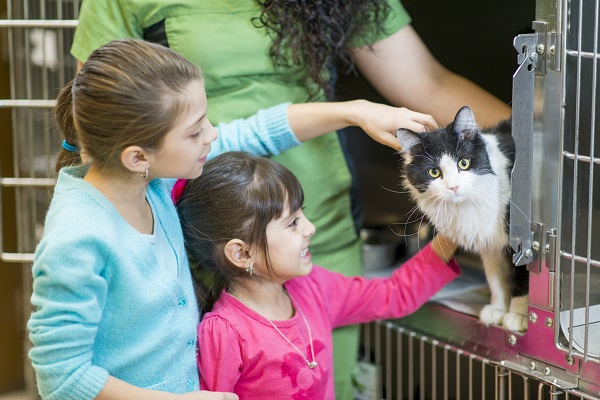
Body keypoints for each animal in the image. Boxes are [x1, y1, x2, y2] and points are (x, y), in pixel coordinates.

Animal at [396, 105, 528, 332]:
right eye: (434, 172)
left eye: (463, 163)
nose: (454, 187)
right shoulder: (489, 244)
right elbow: (496, 280)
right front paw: (498, 309)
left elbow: (522, 278)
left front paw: (518, 315)